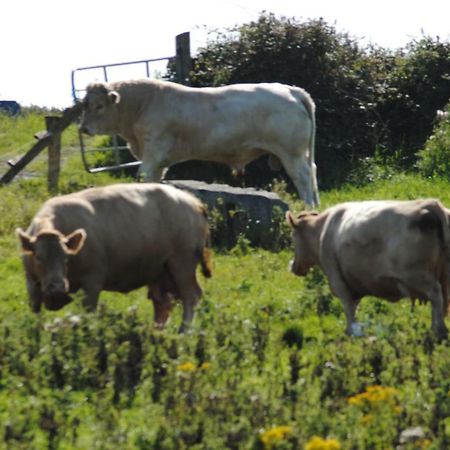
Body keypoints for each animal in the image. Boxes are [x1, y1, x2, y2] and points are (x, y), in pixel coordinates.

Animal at [17, 181, 213, 332]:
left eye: (67, 258)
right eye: (38, 257)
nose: (57, 287)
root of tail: (192, 200)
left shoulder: (92, 282)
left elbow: (87, 314)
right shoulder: (31, 281)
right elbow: (35, 310)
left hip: (182, 264)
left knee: (191, 296)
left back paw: (184, 332)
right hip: (158, 272)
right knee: (163, 302)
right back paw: (156, 331)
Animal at [80, 80, 320, 207]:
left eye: (99, 106)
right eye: (85, 105)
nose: (83, 128)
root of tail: (291, 89)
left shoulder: (152, 155)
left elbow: (143, 178)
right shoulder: (157, 163)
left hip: (292, 153)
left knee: (303, 177)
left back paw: (307, 207)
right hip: (300, 153)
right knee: (313, 172)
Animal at [286, 200, 448, 338]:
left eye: (293, 237)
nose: (292, 266)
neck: (322, 230)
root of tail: (428, 204)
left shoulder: (339, 282)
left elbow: (349, 309)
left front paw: (351, 331)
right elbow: (354, 306)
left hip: (418, 276)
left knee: (436, 296)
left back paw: (437, 329)